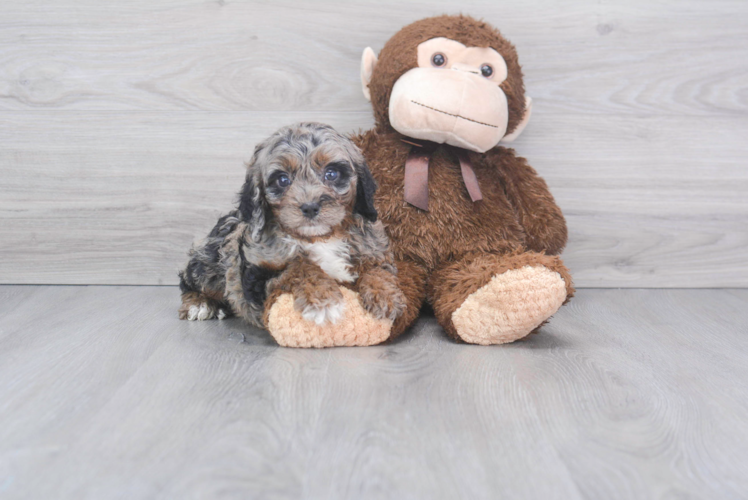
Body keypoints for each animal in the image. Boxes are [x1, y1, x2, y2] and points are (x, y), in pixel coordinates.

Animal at [178, 123, 406, 330]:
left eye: (332, 173)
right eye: (282, 179)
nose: (310, 207)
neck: (319, 237)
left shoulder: (375, 251)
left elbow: (378, 270)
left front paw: (385, 295)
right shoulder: (256, 278)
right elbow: (299, 267)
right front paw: (322, 299)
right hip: (208, 261)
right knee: (187, 280)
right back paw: (199, 304)